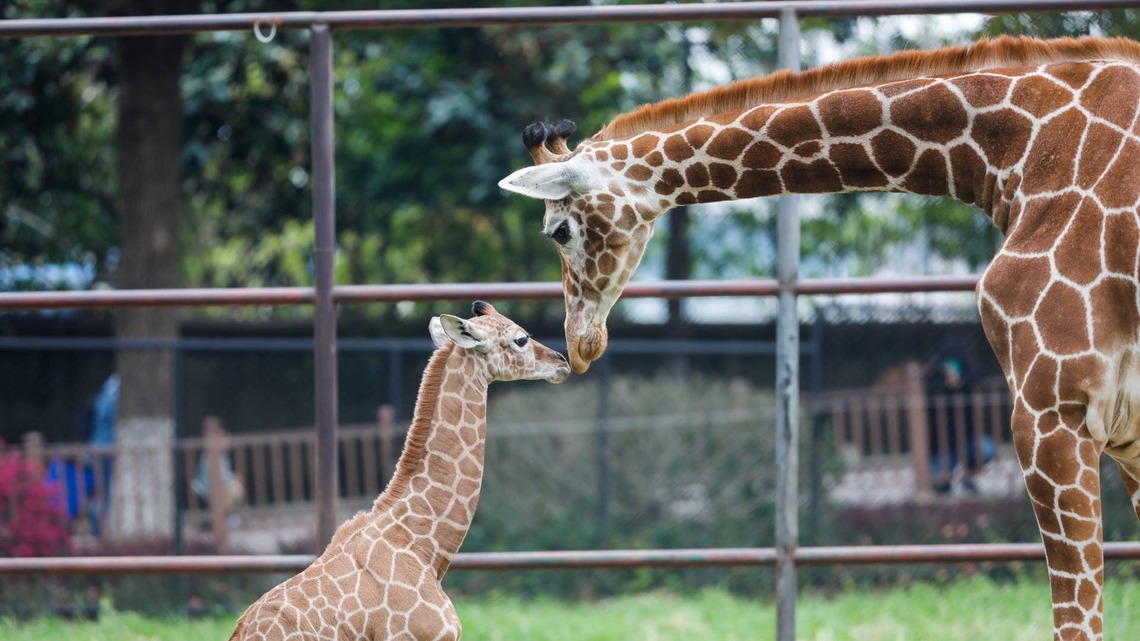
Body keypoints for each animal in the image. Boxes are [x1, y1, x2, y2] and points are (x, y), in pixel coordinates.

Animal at [498, 35, 1140, 641]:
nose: (582, 344)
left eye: (558, 230)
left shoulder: (1052, 408)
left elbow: (1076, 622)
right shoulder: (1119, 430)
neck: (1023, 149)